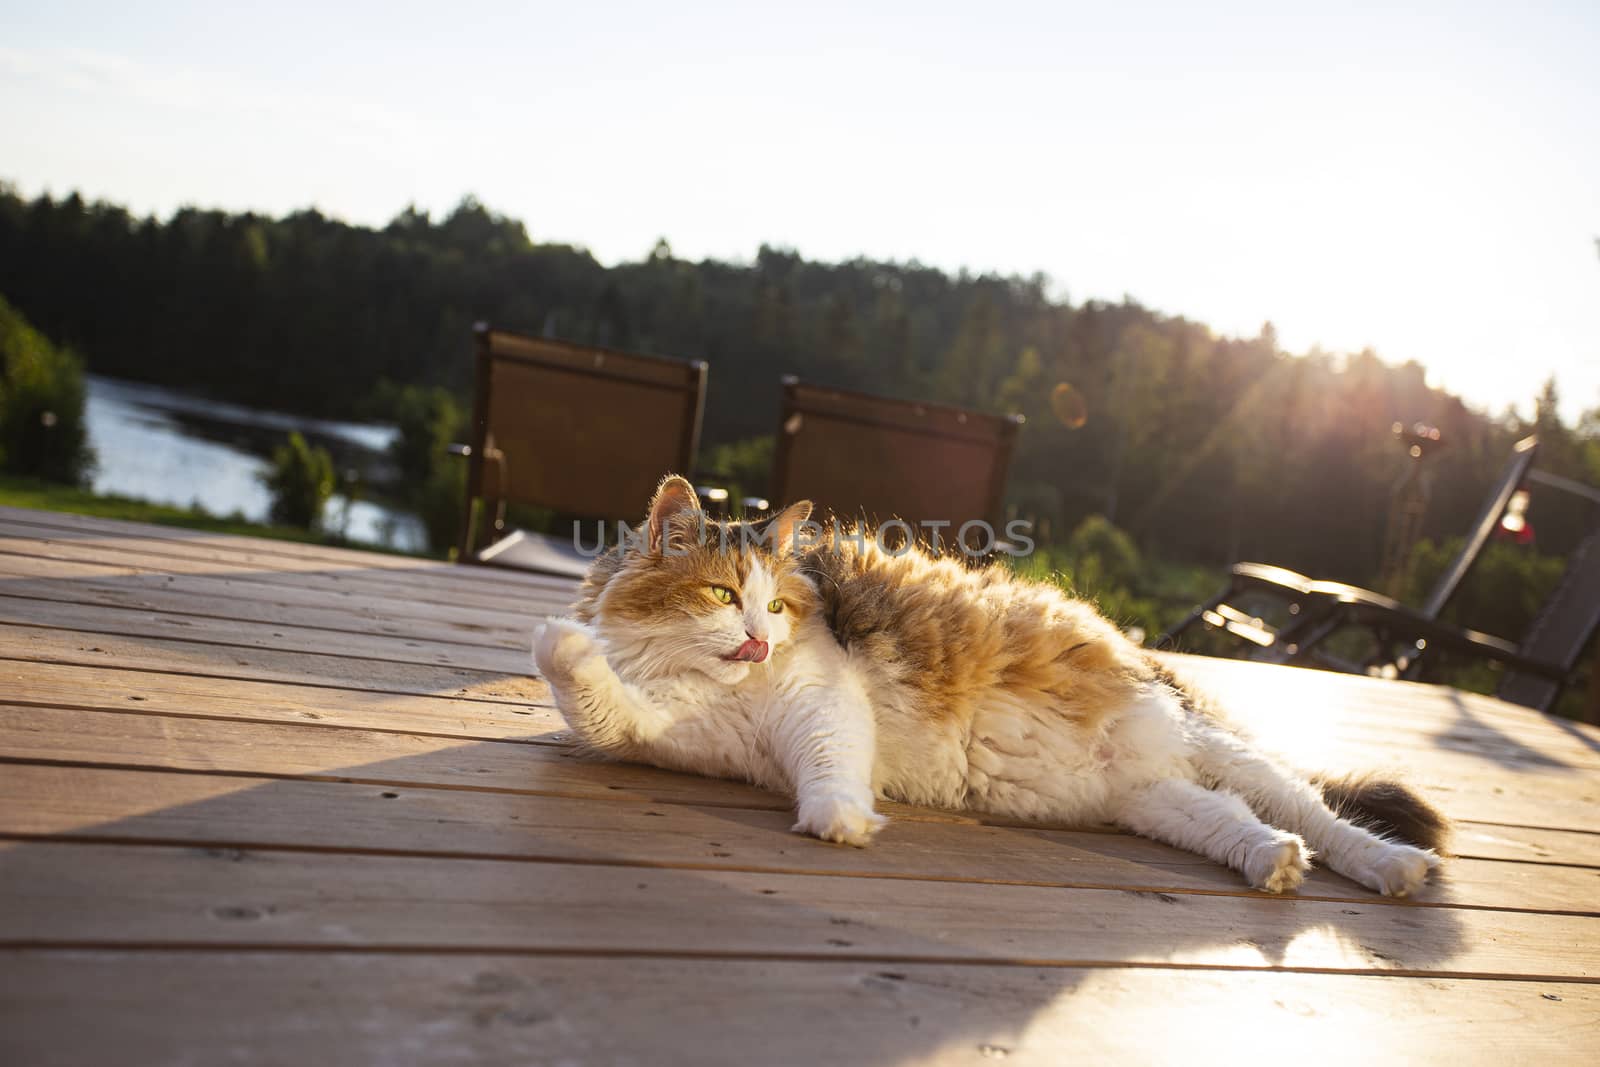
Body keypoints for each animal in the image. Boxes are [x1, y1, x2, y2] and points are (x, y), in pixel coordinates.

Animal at [537, 476, 1452, 902]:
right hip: (1157, 799)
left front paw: (842, 820)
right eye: (725, 596)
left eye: (777, 605)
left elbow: (831, 766)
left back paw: (1394, 868)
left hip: (1218, 751)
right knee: (1244, 826)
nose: (760, 639)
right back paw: (1275, 865)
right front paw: (565, 647)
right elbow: (604, 705)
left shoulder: (822, 703)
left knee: (1322, 817)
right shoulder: (670, 727)